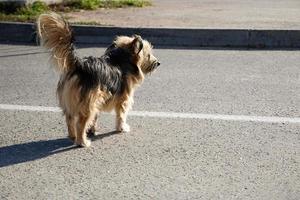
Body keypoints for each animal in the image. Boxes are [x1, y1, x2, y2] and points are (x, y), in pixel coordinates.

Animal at [36, 12, 161, 147]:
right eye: (148, 55)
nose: (158, 63)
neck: (121, 59)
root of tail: (78, 64)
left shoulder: (98, 99)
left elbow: (95, 117)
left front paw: (92, 130)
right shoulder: (123, 99)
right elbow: (121, 115)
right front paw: (122, 128)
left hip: (73, 102)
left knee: (69, 119)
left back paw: (73, 136)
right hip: (87, 104)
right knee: (80, 123)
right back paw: (82, 141)